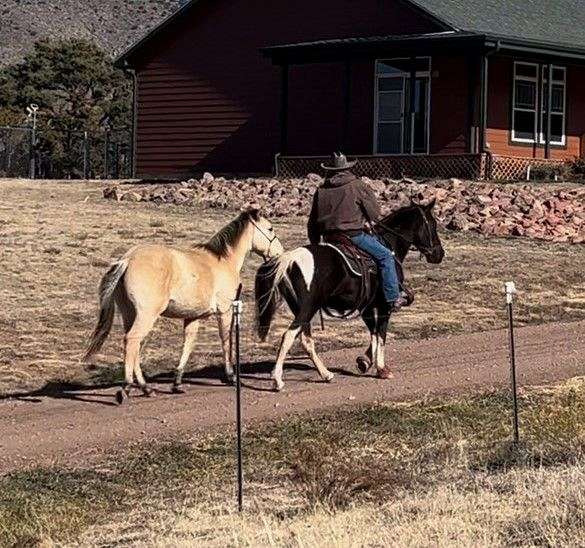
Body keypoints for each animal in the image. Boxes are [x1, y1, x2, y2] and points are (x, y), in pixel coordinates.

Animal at [85, 209, 284, 402]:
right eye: (270, 228)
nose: (279, 253)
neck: (223, 261)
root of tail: (127, 260)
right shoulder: (225, 311)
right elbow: (226, 340)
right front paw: (231, 376)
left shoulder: (192, 317)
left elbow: (187, 345)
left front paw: (177, 383)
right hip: (146, 316)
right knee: (132, 340)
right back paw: (126, 388)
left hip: (130, 314)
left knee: (134, 346)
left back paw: (146, 388)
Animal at [254, 199, 442, 392]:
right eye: (433, 224)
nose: (439, 254)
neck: (389, 245)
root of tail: (289, 259)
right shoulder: (384, 305)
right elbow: (381, 334)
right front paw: (381, 369)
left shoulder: (366, 306)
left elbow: (374, 333)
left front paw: (365, 361)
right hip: (308, 308)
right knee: (289, 336)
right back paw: (277, 379)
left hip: (300, 309)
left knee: (306, 340)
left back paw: (326, 374)